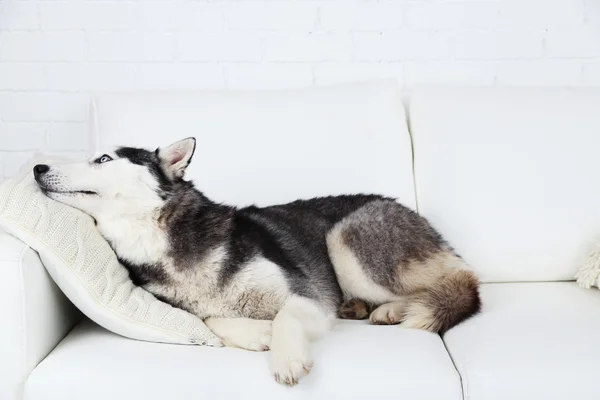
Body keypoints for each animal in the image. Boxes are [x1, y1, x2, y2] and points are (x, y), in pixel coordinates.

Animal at [34, 138, 482, 388]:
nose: (38, 166)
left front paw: (284, 356)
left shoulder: (310, 296)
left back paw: (392, 309)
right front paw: (256, 334)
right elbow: (211, 318)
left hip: (345, 239)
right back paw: (363, 308)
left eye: (103, 160)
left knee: (457, 284)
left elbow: (285, 317)